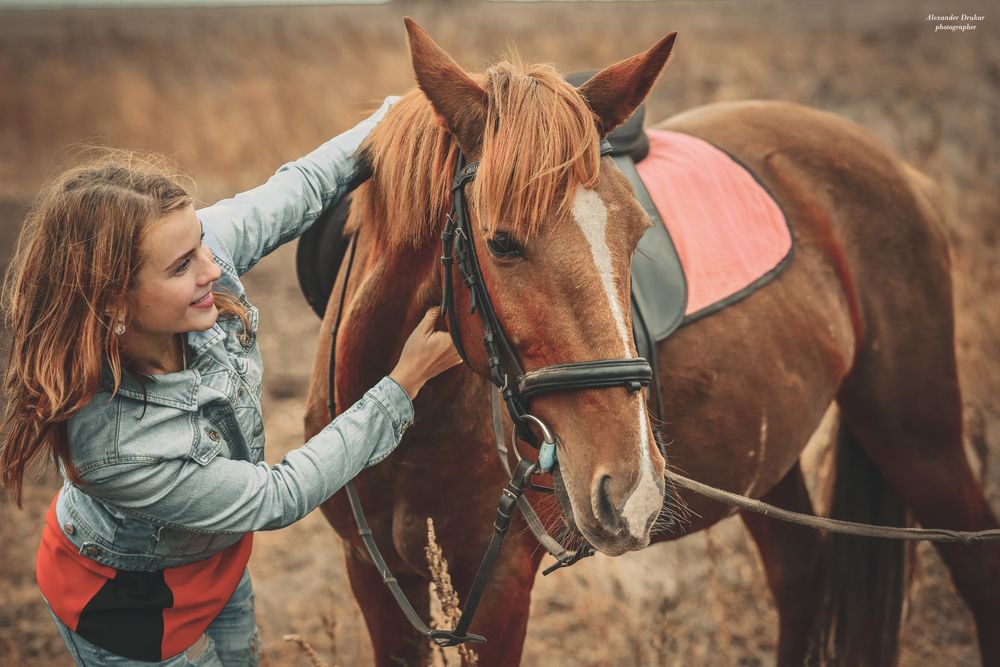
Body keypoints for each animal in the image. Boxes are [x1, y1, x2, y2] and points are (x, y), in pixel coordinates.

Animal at [302, 18, 1000, 664]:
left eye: (638, 232)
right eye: (501, 242)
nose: (630, 489)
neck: (410, 431)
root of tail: (889, 160)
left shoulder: (498, 591)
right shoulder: (374, 582)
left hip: (916, 436)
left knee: (974, 566)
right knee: (801, 569)